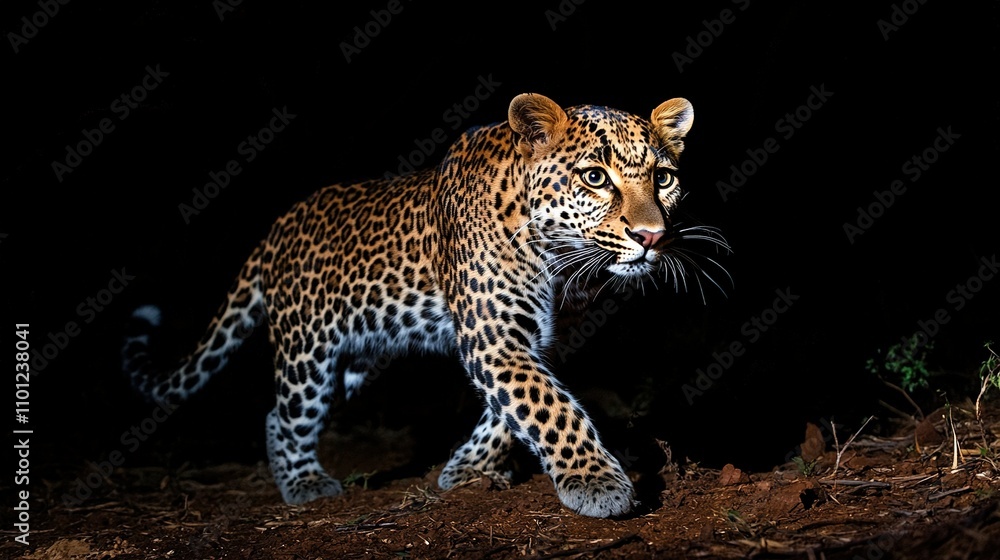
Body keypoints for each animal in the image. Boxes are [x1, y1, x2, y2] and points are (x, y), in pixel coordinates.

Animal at [122, 92, 728, 518]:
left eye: (664, 178)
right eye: (595, 178)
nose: (652, 237)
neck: (560, 262)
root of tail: (276, 227)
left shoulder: (537, 341)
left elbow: (513, 409)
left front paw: (466, 470)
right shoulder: (495, 338)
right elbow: (549, 406)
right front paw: (596, 482)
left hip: (356, 361)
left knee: (277, 413)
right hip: (309, 350)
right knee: (289, 411)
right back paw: (303, 484)